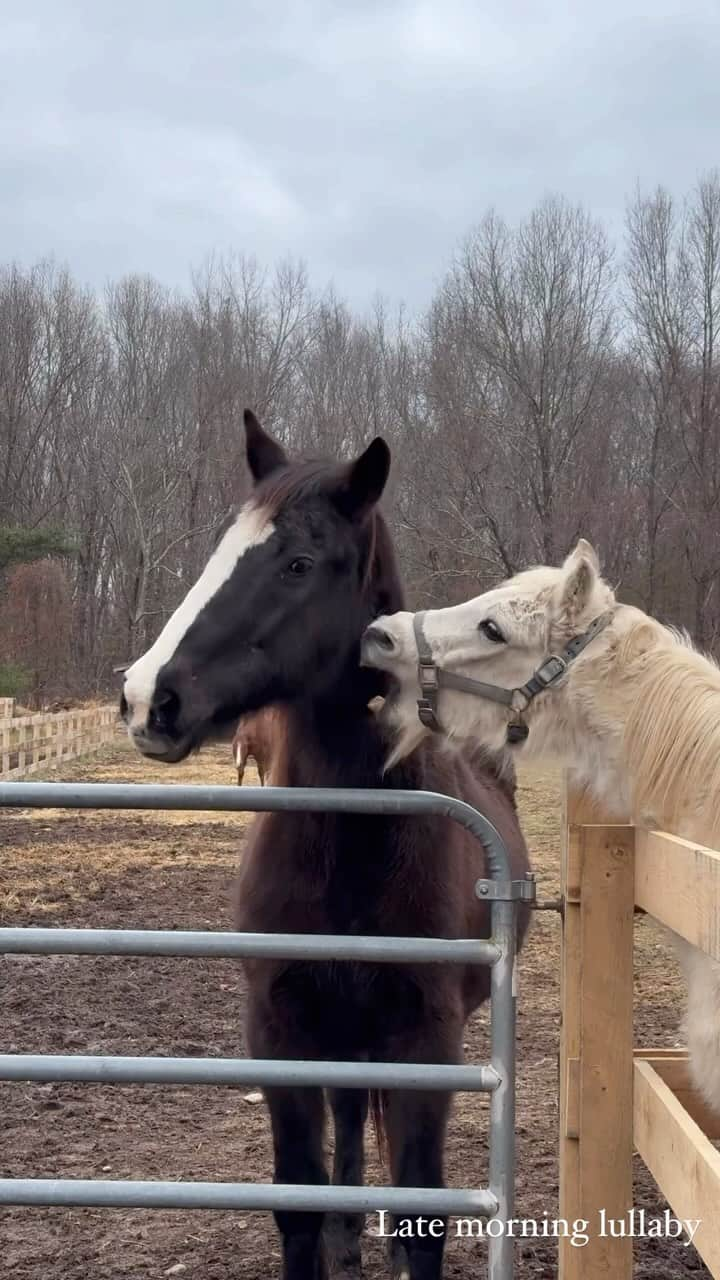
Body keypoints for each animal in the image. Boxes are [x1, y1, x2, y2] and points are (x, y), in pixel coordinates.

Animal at [120, 412, 530, 1280]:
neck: (351, 849)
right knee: (347, 1113)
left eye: (299, 564)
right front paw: (330, 1234)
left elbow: (422, 1212)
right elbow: (299, 1202)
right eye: (219, 551)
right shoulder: (282, 1033)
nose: (148, 699)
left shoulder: (426, 1042)